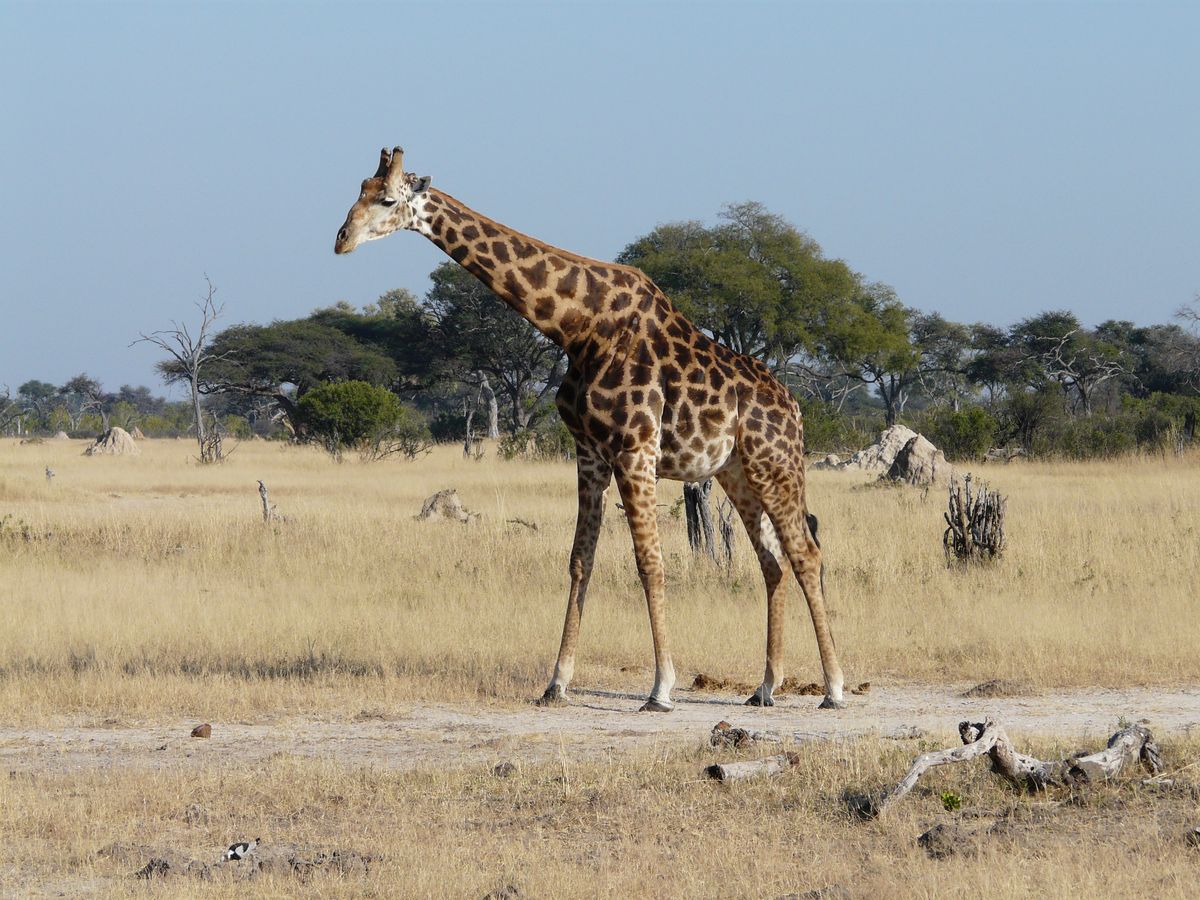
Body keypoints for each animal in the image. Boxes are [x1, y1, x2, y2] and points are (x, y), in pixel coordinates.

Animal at [334, 147, 846, 712]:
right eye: (358, 189)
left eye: (387, 199)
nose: (341, 239)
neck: (576, 326)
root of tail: (795, 409)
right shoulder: (589, 453)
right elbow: (581, 560)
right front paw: (556, 683)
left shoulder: (634, 450)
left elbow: (650, 562)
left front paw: (661, 688)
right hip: (736, 472)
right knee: (772, 560)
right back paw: (765, 687)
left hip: (774, 465)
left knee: (806, 554)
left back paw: (833, 688)